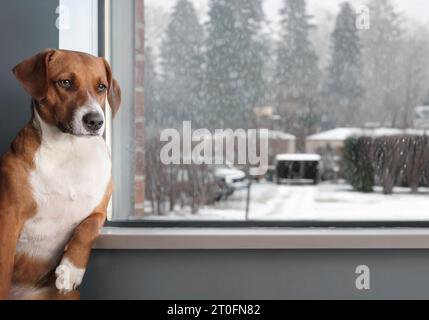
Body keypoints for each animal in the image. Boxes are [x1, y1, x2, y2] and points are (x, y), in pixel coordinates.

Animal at [0, 48, 120, 298]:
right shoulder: (7, 218)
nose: (95, 121)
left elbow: (88, 228)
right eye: (65, 82)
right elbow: (2, 270)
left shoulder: (99, 211)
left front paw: (71, 270)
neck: (70, 151)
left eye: (101, 86)